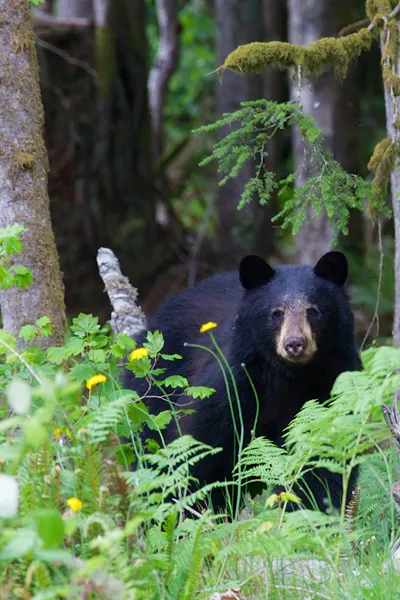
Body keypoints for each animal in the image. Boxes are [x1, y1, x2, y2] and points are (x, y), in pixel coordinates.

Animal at [123, 251, 360, 512]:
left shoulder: (332, 386)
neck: (288, 378)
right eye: (276, 313)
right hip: (154, 388)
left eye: (313, 310)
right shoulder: (233, 388)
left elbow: (322, 459)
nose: (295, 344)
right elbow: (196, 449)